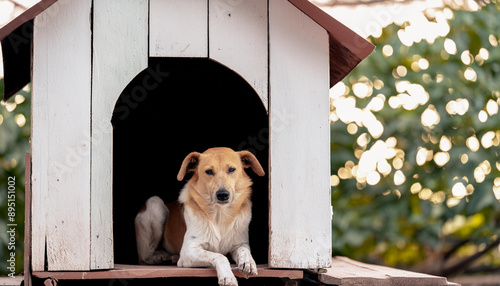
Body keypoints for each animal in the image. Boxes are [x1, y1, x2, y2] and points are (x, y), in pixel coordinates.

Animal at [133, 149, 266, 284]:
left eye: (231, 169)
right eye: (209, 171)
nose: (223, 194)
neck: (220, 215)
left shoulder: (240, 244)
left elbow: (244, 250)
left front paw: (248, 262)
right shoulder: (188, 251)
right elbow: (219, 256)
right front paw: (227, 276)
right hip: (155, 203)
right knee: (144, 257)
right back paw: (160, 257)